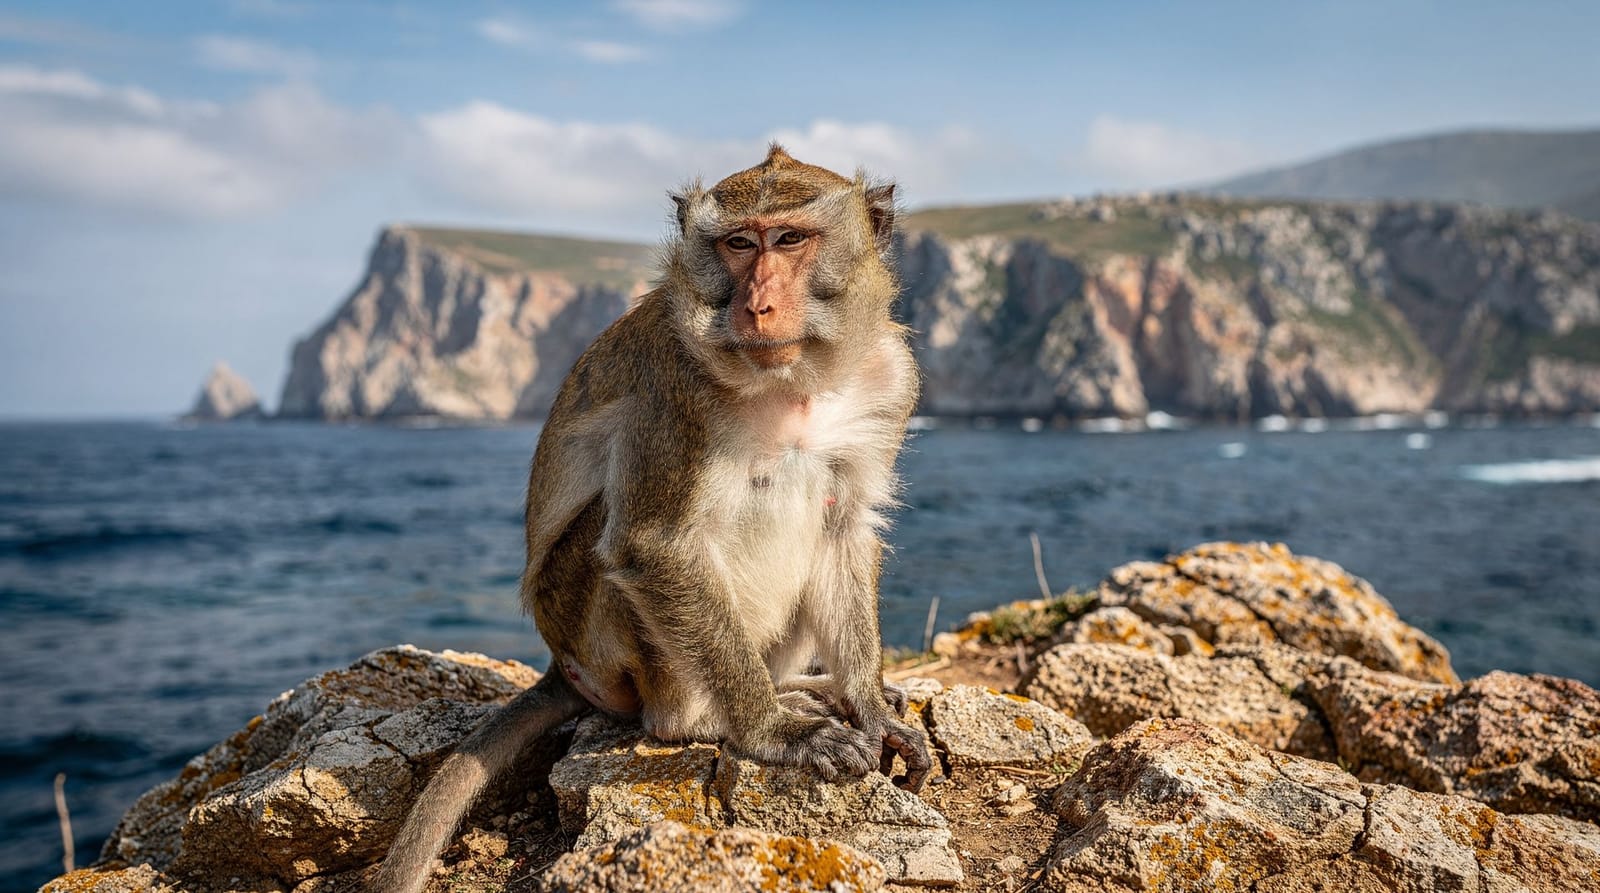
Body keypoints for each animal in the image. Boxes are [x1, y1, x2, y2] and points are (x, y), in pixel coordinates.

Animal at [372, 145, 931, 893]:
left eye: (789, 239)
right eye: (738, 244)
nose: (757, 303)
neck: (794, 383)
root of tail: (558, 664)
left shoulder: (891, 380)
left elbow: (845, 526)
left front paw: (867, 702)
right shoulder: (673, 388)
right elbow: (653, 544)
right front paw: (772, 732)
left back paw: (804, 686)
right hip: (597, 640)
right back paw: (707, 719)